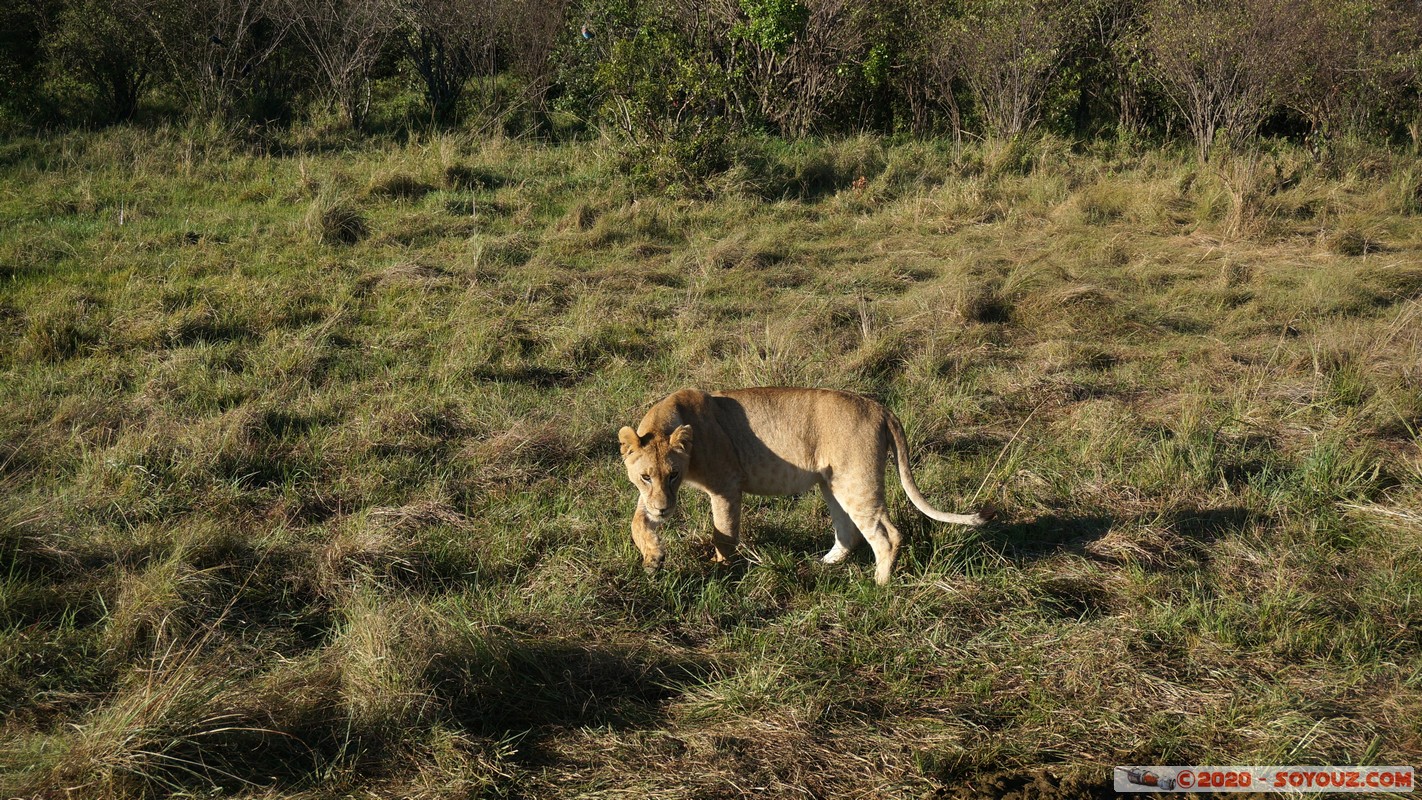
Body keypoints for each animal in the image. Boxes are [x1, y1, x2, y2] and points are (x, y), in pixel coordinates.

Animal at [611, 389, 989, 588]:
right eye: (646, 477)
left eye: (673, 474)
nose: (664, 510)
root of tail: (880, 407)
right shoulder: (652, 498)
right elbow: (636, 522)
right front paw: (653, 558)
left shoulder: (726, 485)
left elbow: (723, 532)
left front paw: (722, 570)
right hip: (831, 483)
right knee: (849, 533)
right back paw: (826, 563)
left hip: (857, 481)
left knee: (888, 535)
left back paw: (879, 585)